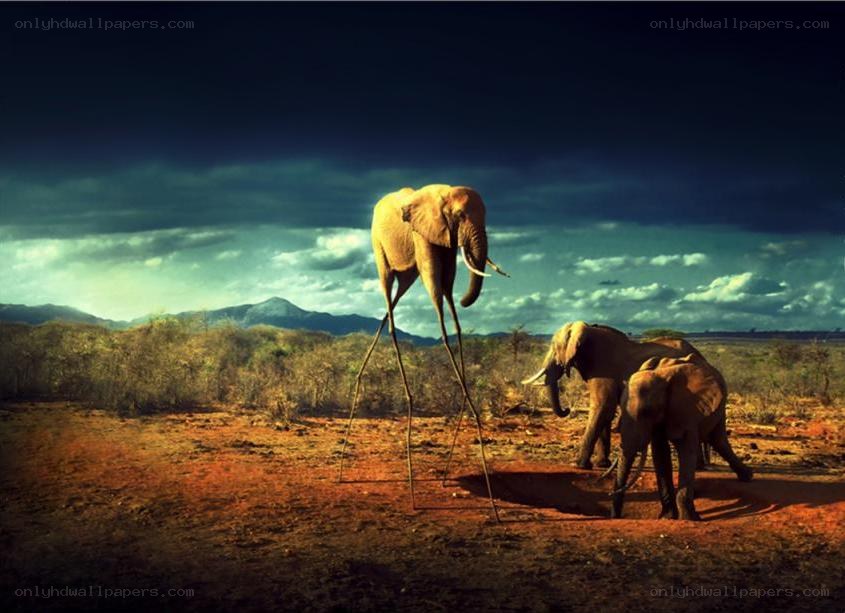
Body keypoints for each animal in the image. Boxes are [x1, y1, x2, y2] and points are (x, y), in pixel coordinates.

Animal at [338, 184, 508, 519]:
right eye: (460, 215)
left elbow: (451, 302)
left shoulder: (445, 242)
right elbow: (439, 303)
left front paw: (469, 407)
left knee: (392, 305)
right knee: (389, 299)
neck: (444, 193)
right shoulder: (424, 234)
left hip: (405, 271)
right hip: (378, 246)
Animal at [522, 321, 705, 469]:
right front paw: (601, 464)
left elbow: (603, 406)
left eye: (554, 347)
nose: (567, 409)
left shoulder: (603, 369)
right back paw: (699, 467)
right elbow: (606, 412)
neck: (588, 330)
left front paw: (579, 465)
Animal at [610, 354, 753, 520]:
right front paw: (667, 517)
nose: (616, 516)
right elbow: (660, 454)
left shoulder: (686, 409)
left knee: (718, 439)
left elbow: (686, 449)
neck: (663, 379)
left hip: (720, 405)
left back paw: (747, 476)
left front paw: (690, 518)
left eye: (647, 411)